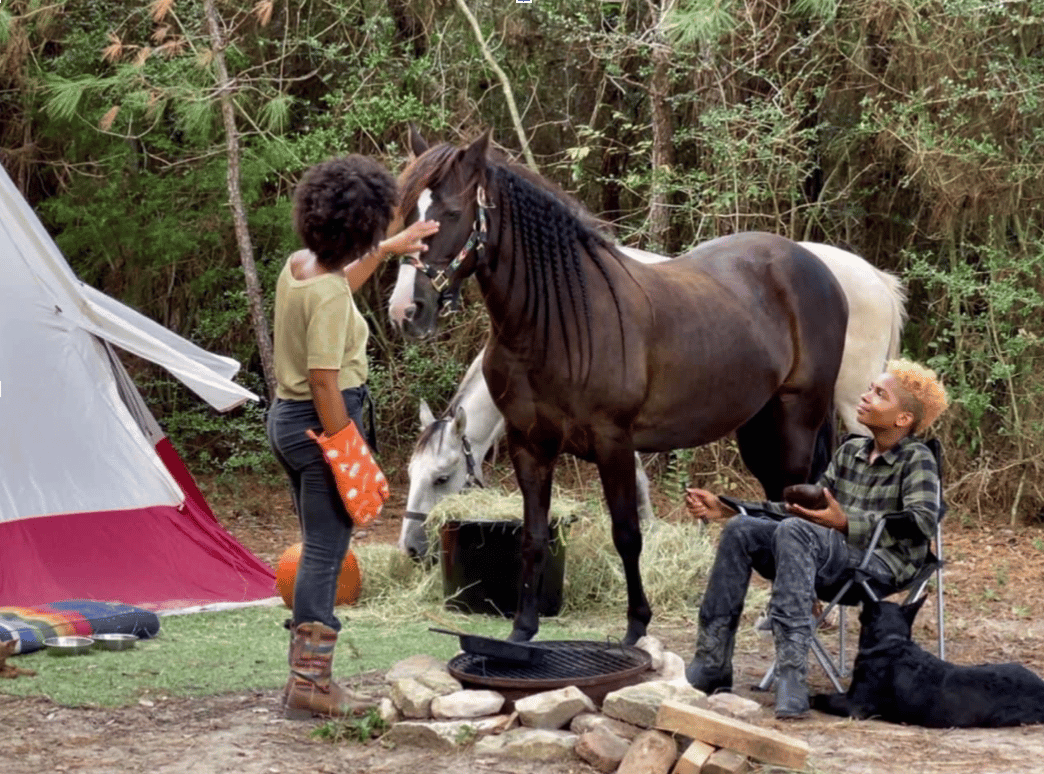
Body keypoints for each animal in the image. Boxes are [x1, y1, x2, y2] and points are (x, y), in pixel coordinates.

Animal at [396, 134, 847, 647]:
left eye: (451, 212)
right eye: (409, 213)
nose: (409, 310)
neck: (557, 321)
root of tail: (816, 266)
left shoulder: (613, 442)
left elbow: (628, 533)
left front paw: (636, 626)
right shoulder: (530, 445)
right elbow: (533, 536)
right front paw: (523, 628)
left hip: (798, 421)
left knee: (796, 507)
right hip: (758, 427)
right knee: (773, 506)